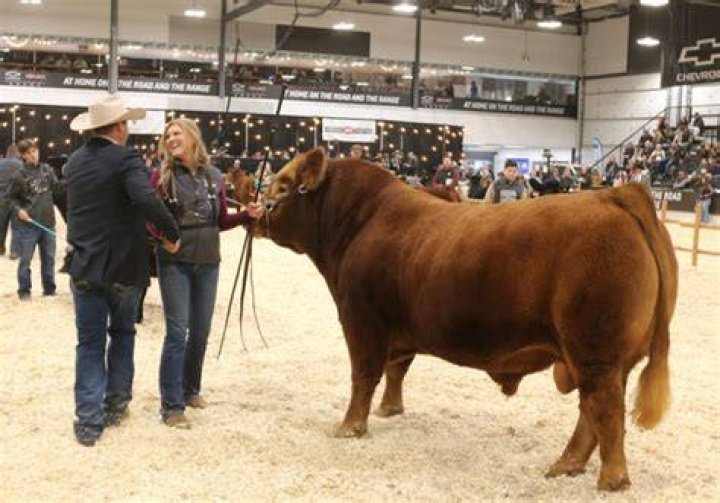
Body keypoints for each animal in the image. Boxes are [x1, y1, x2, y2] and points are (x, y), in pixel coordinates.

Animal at [256, 147, 678, 491]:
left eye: (284, 184)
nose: (256, 209)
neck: (358, 221)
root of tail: (612, 195)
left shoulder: (360, 317)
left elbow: (364, 375)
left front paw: (349, 428)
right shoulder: (402, 326)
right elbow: (397, 368)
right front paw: (390, 410)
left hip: (594, 350)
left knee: (606, 408)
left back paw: (611, 480)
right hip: (606, 357)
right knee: (592, 409)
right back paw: (566, 465)